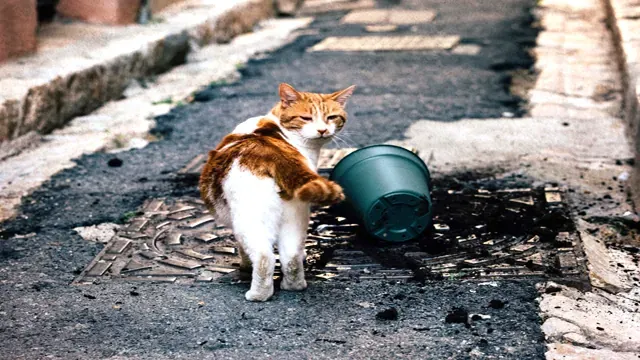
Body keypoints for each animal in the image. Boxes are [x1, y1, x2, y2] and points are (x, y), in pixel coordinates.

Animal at [200, 82, 356, 300]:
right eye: (306, 118)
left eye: (331, 117)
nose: (322, 130)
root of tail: (274, 155)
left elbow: (242, 249)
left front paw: (244, 265)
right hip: (296, 215)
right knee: (291, 257)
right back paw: (294, 285)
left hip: (248, 218)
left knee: (265, 257)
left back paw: (258, 295)